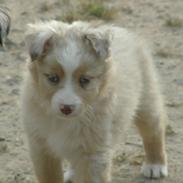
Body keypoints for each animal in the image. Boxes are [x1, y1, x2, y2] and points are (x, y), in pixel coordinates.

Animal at [20, 20, 168, 182]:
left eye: (85, 80)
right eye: (53, 78)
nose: (66, 108)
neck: (65, 121)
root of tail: (120, 29)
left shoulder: (93, 154)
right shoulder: (41, 148)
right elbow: (50, 177)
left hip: (146, 100)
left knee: (154, 130)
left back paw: (156, 164)